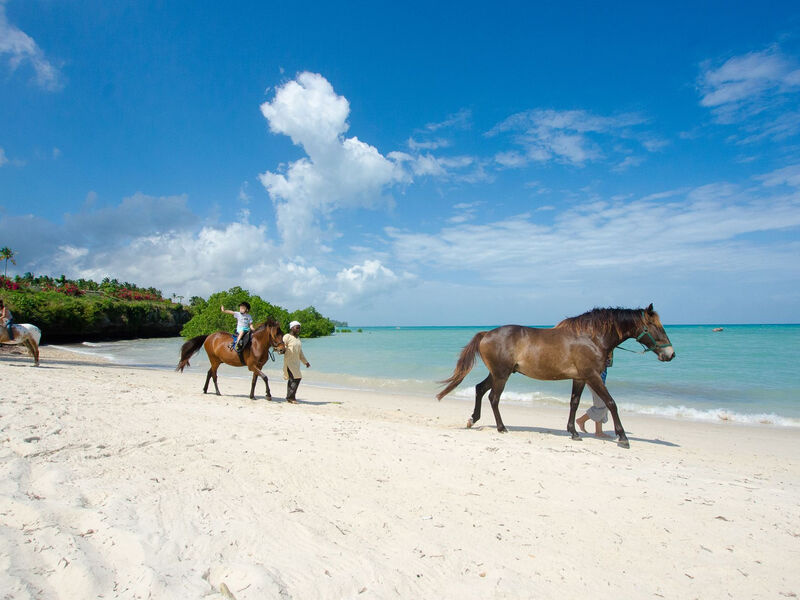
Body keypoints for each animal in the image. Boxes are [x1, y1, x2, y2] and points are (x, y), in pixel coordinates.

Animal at [438, 302, 676, 448]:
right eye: (655, 326)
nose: (671, 354)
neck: (591, 337)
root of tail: (487, 333)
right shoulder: (592, 376)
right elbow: (611, 403)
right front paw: (623, 437)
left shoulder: (580, 378)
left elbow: (574, 403)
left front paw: (573, 432)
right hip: (501, 375)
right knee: (493, 398)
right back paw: (501, 427)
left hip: (497, 373)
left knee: (480, 389)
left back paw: (473, 419)